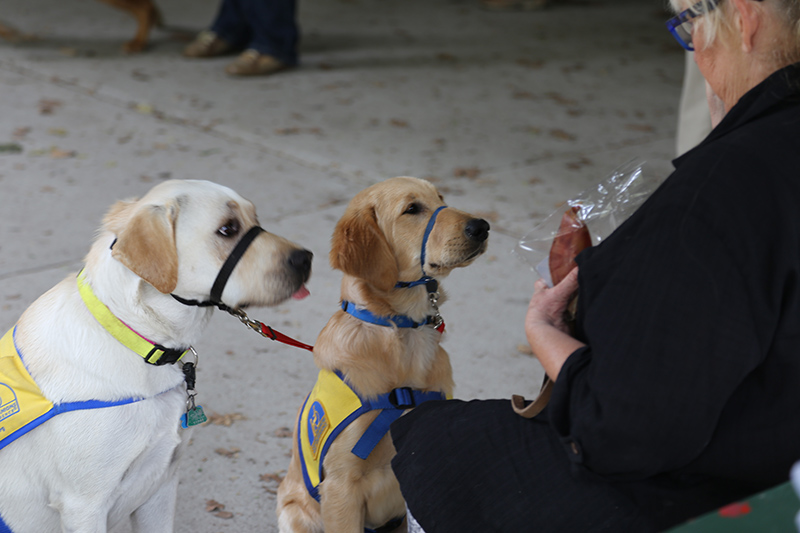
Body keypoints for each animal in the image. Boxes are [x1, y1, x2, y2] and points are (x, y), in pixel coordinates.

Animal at [0, 180, 312, 532]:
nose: (307, 258)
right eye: (228, 229)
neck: (132, 336)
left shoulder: (161, 483)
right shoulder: (84, 505)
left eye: (255, 219)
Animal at [276, 177, 488, 528]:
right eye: (412, 209)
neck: (402, 332)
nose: (482, 227)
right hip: (295, 513)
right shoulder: (341, 485)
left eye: (441, 198)